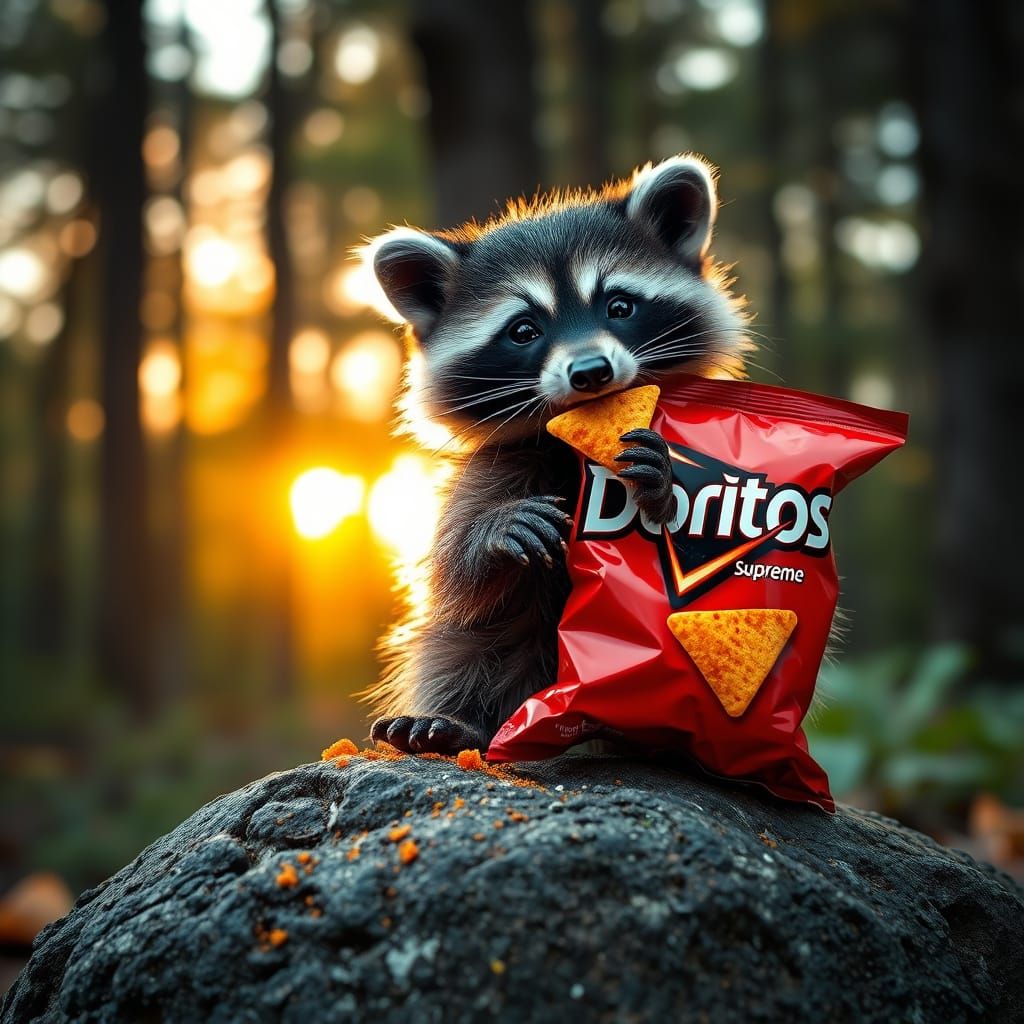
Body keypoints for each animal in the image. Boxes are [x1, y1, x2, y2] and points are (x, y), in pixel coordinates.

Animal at [362, 154, 751, 754]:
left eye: (619, 305)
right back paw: (458, 720)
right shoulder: (499, 464)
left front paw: (664, 485)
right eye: (524, 329)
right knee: (461, 643)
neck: (575, 447)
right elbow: (450, 570)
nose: (590, 371)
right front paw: (491, 533)